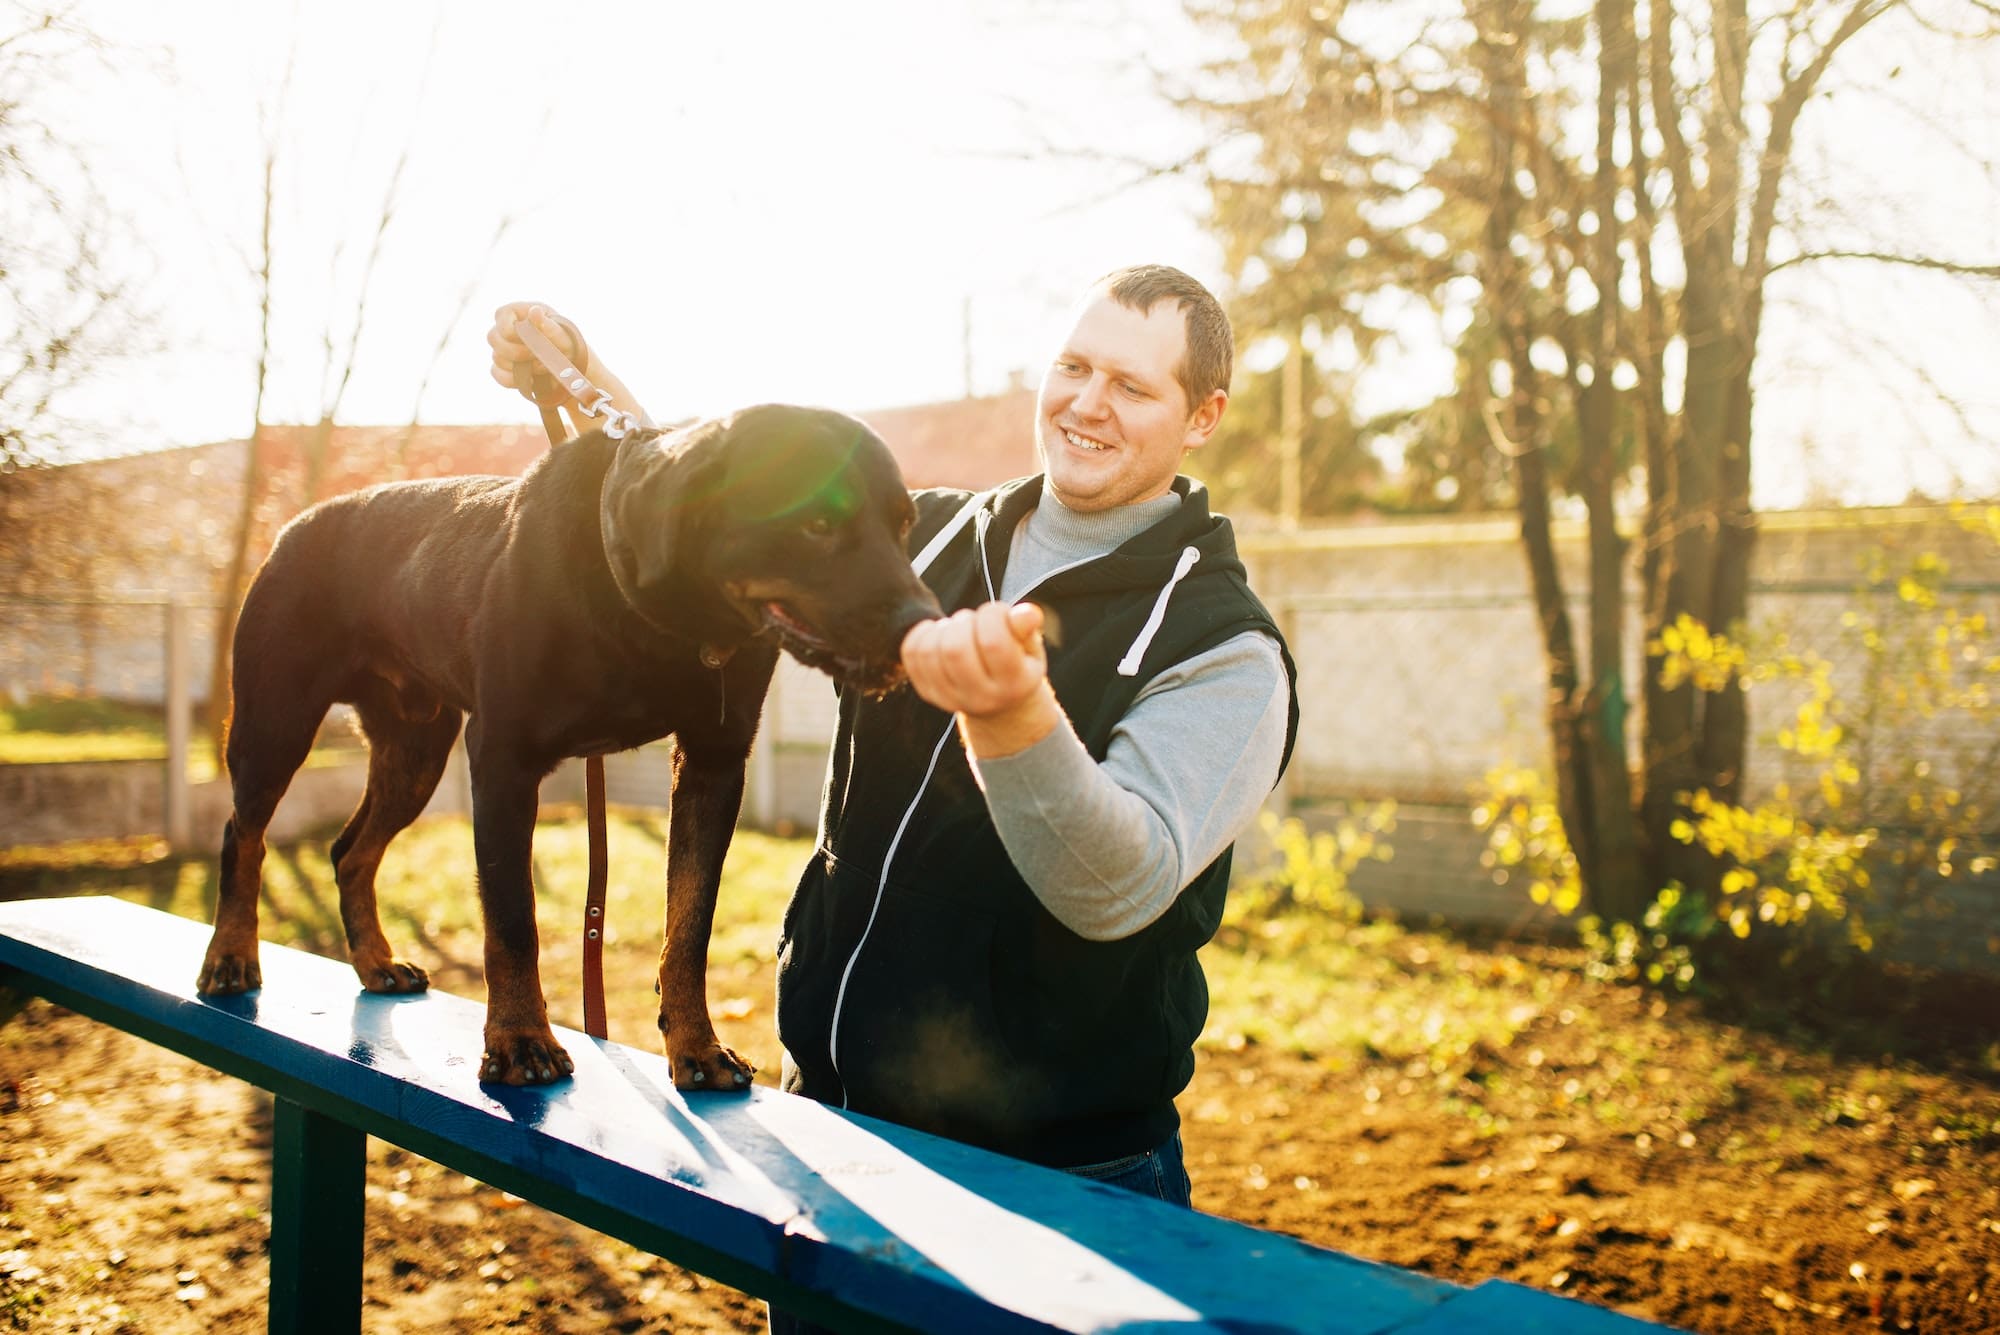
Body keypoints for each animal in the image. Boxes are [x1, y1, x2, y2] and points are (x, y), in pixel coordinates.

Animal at [203, 403, 944, 1087]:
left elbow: (690, 924)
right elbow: (512, 922)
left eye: (904, 525)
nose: (924, 624)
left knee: (349, 850)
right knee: (243, 831)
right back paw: (230, 955)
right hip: (276, 725)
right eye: (816, 524)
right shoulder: (502, 761)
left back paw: (374, 962)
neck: (652, 614)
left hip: (413, 754)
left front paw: (697, 1047)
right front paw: (520, 1041)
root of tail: (292, 527)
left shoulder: (713, 762)